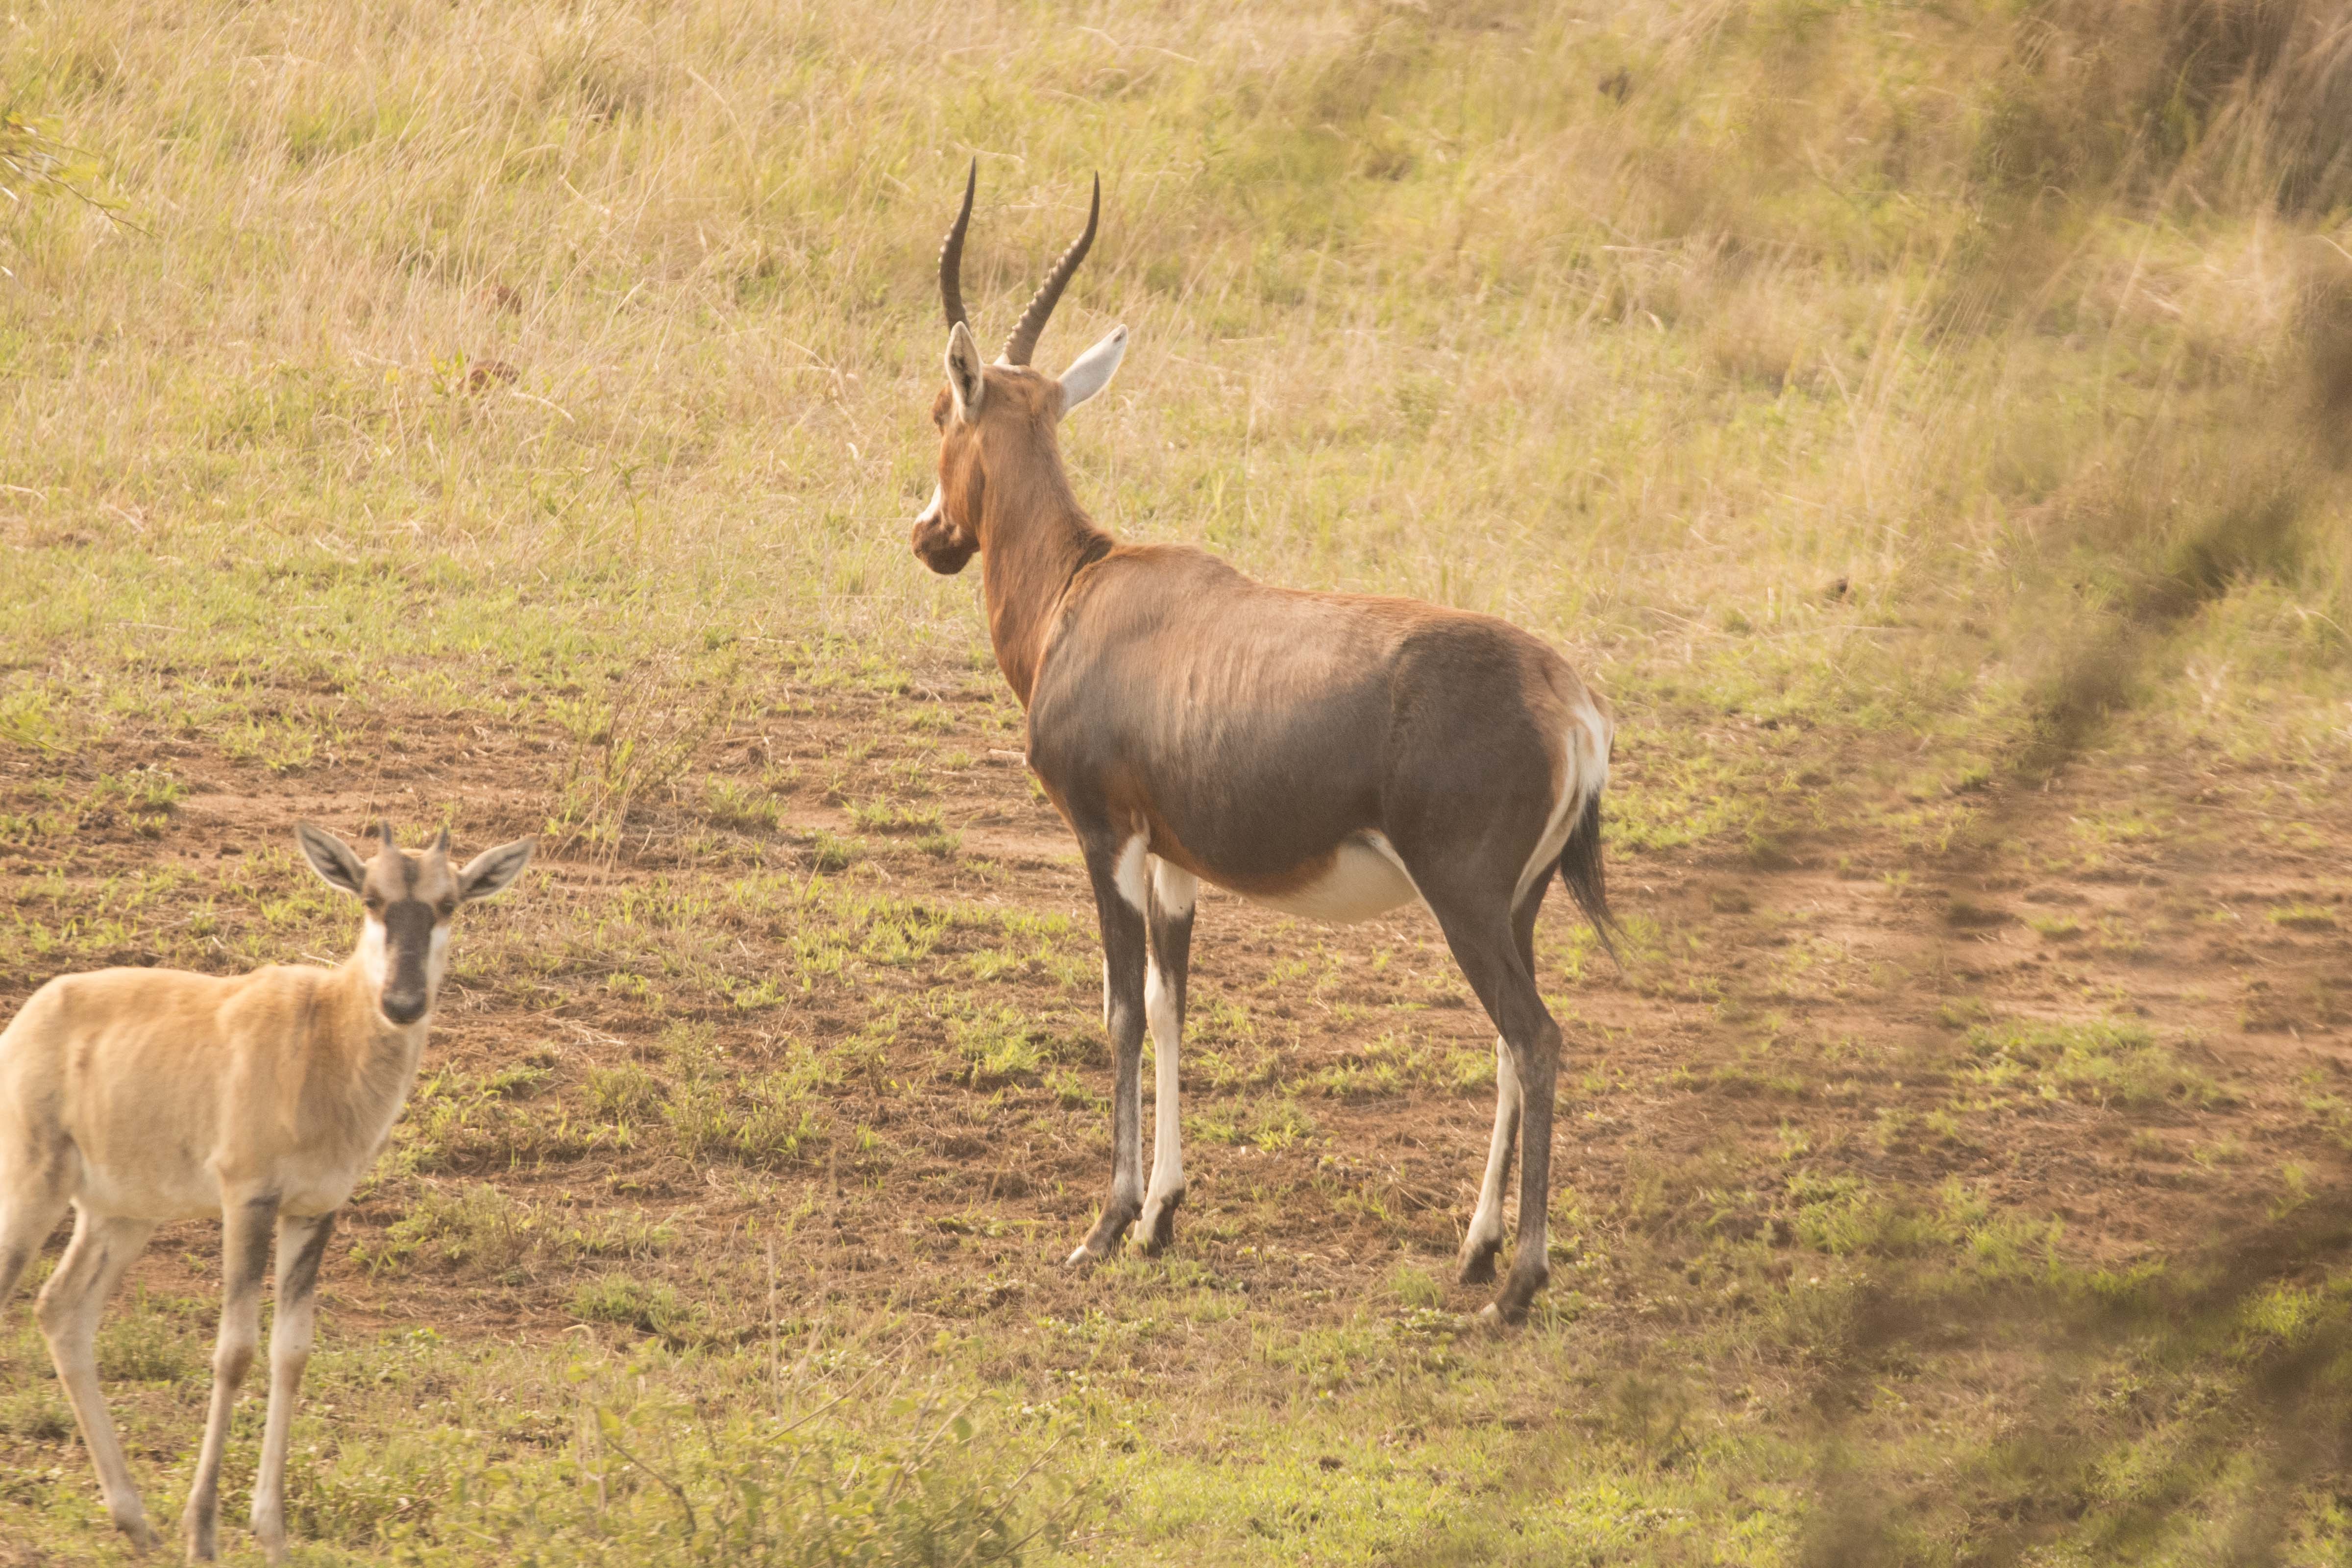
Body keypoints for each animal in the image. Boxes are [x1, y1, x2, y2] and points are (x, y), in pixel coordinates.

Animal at [0, 823, 534, 1561]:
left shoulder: (315, 1212)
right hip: (32, 1185)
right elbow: (235, 1353)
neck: (323, 1031)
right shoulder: (246, 1200)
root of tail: (34, 1013)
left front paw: (272, 1534)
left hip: (120, 1216)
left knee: (62, 1312)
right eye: (370, 898)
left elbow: (292, 1353)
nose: (402, 1004)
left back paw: (135, 1520)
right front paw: (203, 1535)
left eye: (449, 902)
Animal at [903, 169, 1618, 1325]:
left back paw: (1515, 1285)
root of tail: (1570, 705)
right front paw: (1162, 1216)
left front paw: (1104, 1227)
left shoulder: (1105, 840)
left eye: (940, 410)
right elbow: (1172, 1005)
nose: (929, 537)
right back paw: (1473, 1252)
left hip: (1465, 897)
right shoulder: (1176, 861)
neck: (1085, 587)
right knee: (1512, 1044)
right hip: (1519, 905)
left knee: (1536, 1038)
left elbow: (1119, 1012)